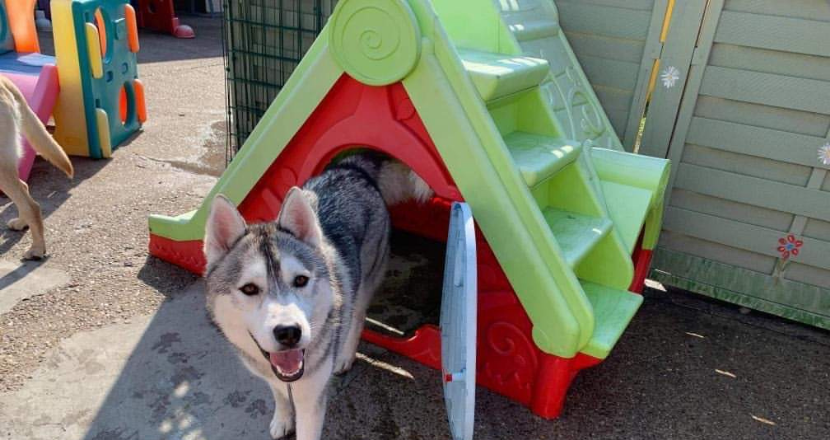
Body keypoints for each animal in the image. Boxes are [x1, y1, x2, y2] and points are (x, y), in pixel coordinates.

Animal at [205, 153, 432, 438]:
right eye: (249, 289)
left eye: (300, 280)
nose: (289, 332)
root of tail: (352, 168)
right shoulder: (274, 378)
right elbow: (279, 394)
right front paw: (282, 418)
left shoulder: (311, 402)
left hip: (365, 281)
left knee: (357, 316)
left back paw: (345, 355)